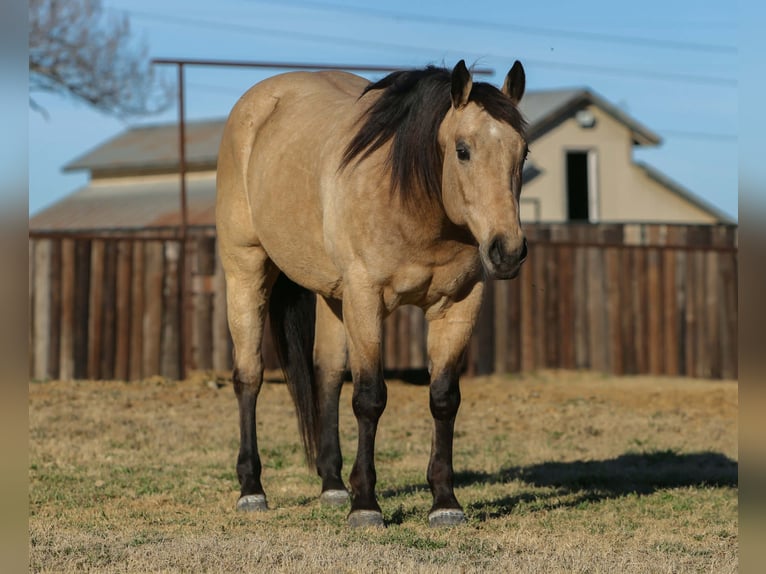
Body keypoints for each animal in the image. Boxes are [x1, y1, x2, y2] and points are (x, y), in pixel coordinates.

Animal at [215, 59, 529, 528]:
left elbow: (443, 399)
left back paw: (332, 484)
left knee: (326, 375)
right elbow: (369, 398)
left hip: (332, 295)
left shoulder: (458, 305)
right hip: (246, 272)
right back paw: (252, 489)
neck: (413, 201)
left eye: (523, 152)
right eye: (463, 150)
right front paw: (366, 506)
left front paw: (445, 501)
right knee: (248, 377)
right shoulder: (366, 299)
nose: (507, 251)